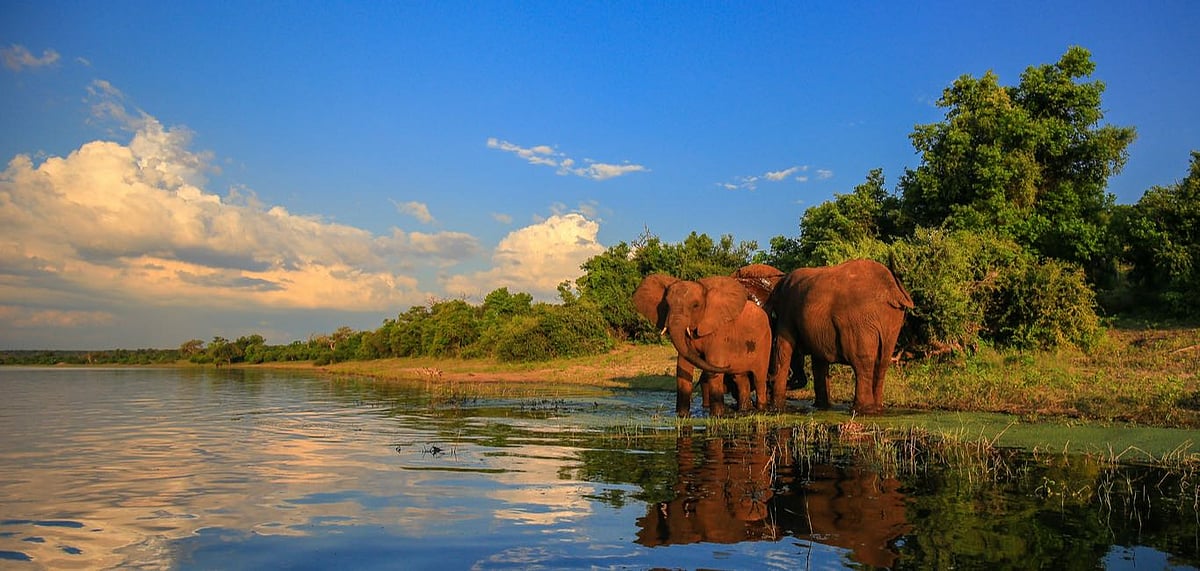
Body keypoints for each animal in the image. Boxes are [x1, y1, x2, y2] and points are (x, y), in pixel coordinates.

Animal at [633, 273, 772, 417]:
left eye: (695, 305)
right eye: (667, 304)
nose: (728, 364)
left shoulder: (719, 332)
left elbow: (713, 364)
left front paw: (717, 416)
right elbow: (683, 366)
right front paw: (682, 416)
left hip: (765, 341)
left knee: (759, 379)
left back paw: (761, 410)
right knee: (741, 378)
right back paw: (745, 410)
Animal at [767, 258, 913, 414]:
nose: (769, 382)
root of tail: (891, 289)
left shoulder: (786, 311)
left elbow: (783, 349)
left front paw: (777, 409)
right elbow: (818, 360)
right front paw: (821, 407)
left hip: (858, 320)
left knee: (862, 361)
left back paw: (861, 410)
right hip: (891, 319)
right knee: (882, 361)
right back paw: (876, 409)